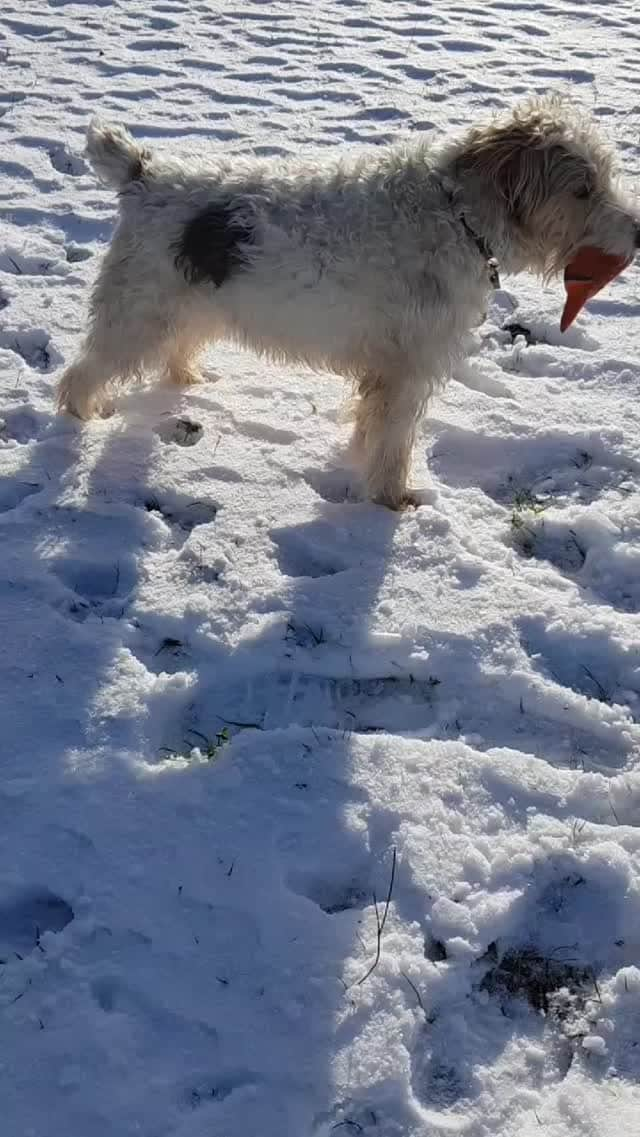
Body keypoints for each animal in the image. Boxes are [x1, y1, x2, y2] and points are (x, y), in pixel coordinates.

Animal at [58, 95, 636, 509]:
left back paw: (190, 380)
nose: (637, 231)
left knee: (174, 352)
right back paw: (81, 419)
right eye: (582, 189)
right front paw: (392, 499)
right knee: (80, 375)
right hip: (137, 313)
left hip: (190, 308)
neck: (456, 215)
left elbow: (372, 425)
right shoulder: (409, 367)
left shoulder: (389, 370)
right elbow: (393, 438)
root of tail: (145, 174)